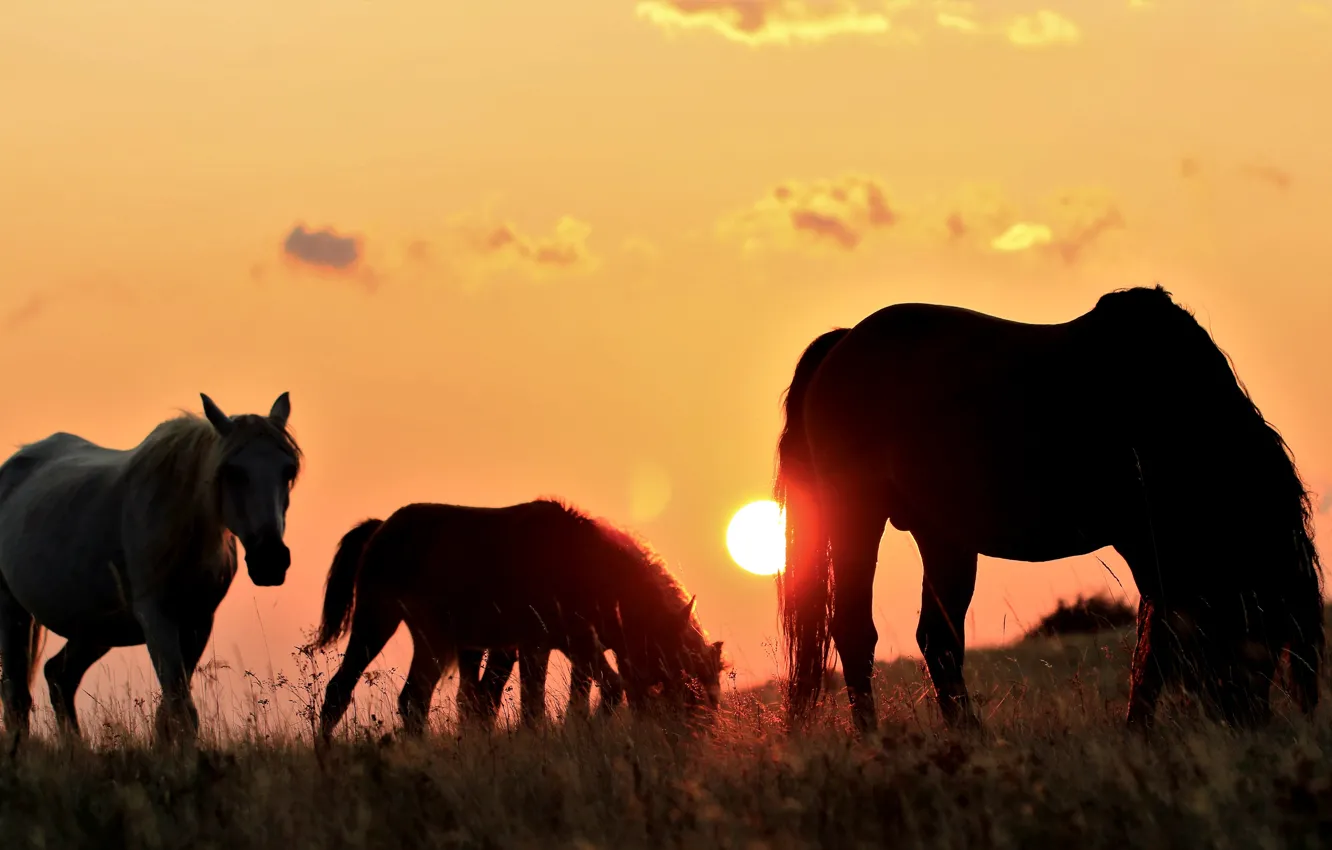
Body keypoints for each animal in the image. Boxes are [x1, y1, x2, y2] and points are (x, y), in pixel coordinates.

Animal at [0, 394, 302, 746]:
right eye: (231, 471)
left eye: (288, 470)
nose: (271, 561)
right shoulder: (156, 617)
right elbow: (182, 708)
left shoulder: (198, 621)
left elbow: (170, 712)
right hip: (14, 611)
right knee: (17, 695)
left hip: (96, 628)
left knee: (59, 676)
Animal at [313, 500, 724, 740]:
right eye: (683, 670)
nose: (703, 728)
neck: (586, 566)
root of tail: (382, 526)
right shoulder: (535, 646)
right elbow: (533, 708)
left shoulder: (577, 647)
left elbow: (598, 692)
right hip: (378, 621)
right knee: (340, 692)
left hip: (435, 640)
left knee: (414, 699)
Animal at [777, 287, 1321, 740]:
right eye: (1263, 626)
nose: (1248, 720)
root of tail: (843, 343)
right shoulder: (1147, 543)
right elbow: (1159, 637)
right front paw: (1138, 732)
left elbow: (1154, 635)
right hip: (857, 516)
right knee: (855, 630)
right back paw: (874, 739)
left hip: (942, 535)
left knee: (937, 639)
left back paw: (969, 736)